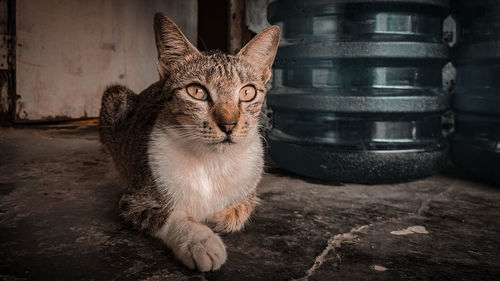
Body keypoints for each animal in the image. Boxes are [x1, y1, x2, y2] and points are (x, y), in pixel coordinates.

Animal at [98, 13, 282, 272]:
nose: (228, 125)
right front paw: (200, 240)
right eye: (197, 91)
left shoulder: (250, 187)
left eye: (247, 93)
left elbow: (242, 207)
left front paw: (223, 216)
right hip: (115, 96)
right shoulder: (133, 200)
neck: (211, 160)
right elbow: (168, 214)